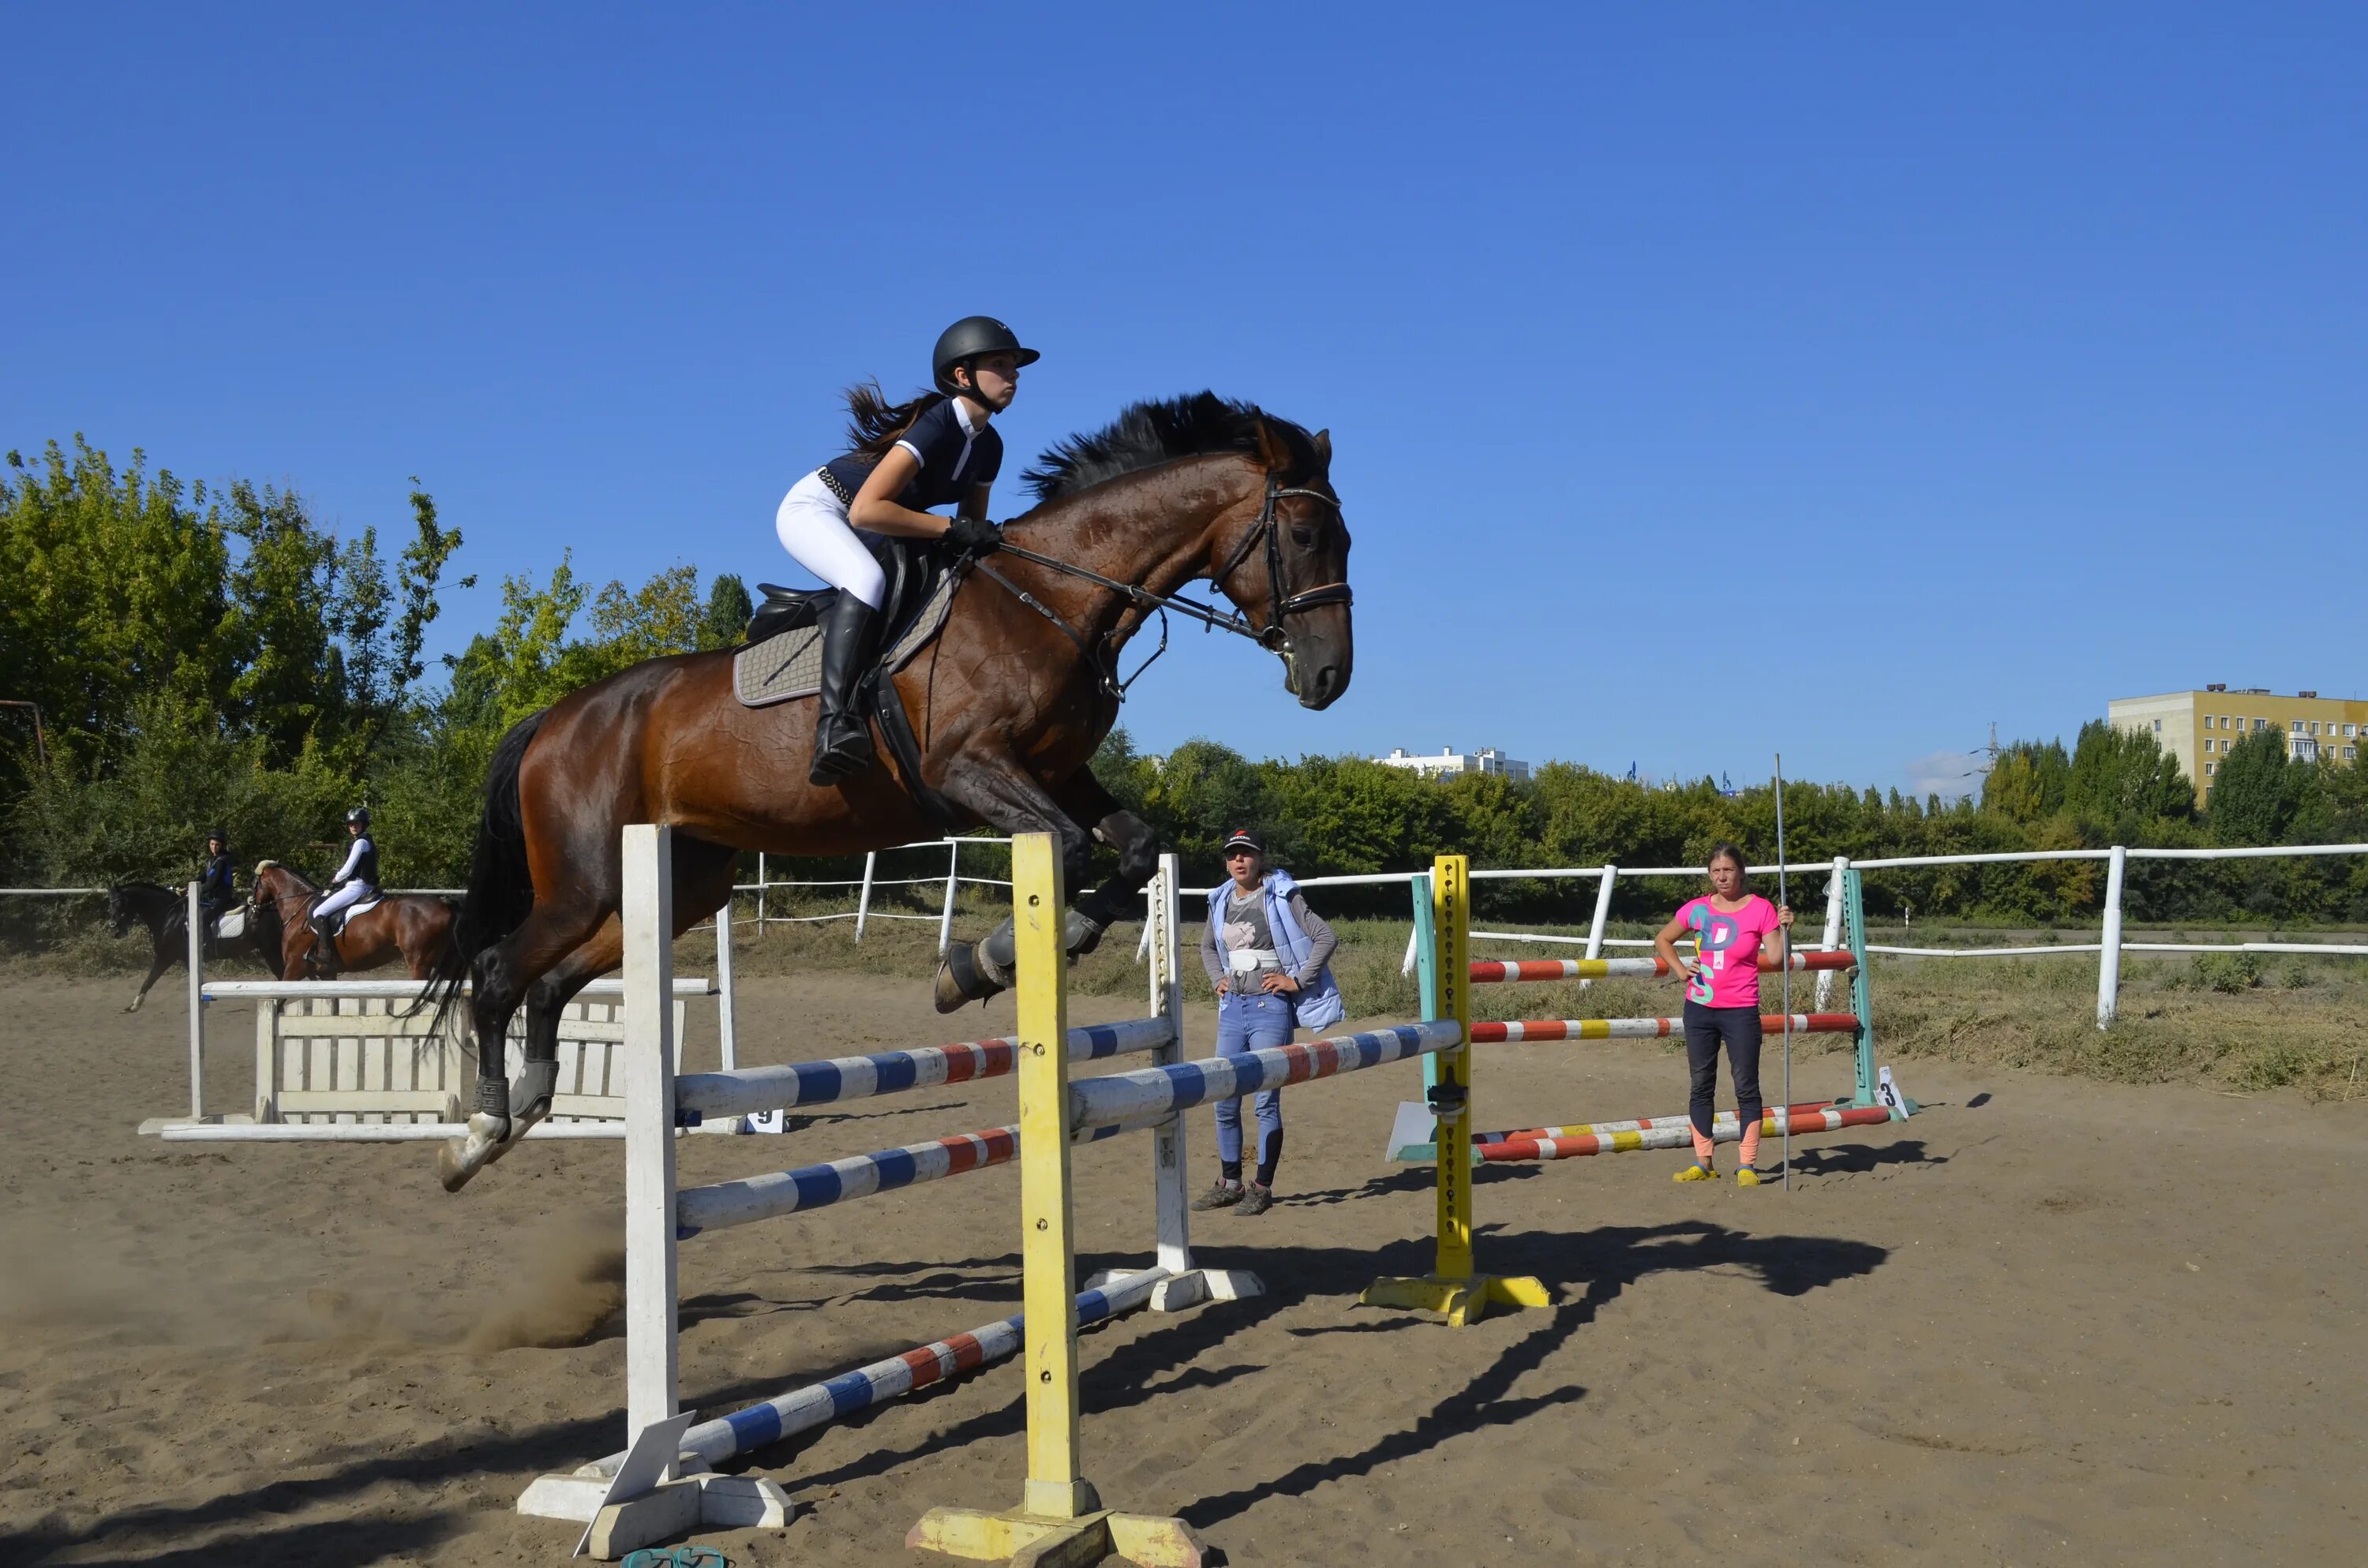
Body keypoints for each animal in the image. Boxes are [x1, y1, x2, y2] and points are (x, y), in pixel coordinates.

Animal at [107, 890, 268, 1013]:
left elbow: (149, 980)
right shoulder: (186, 959)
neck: (169, 916)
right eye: (110, 905)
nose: (114, 930)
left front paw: (134, 1006)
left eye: (120, 904)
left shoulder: (166, 956)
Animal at [424, 393, 1354, 1193]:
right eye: (1308, 532)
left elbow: (1131, 848)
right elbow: (1072, 848)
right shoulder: (969, 770)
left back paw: (526, 1108)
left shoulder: (1058, 773)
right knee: (499, 972)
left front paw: (1012, 954)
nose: (1329, 679)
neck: (1052, 594)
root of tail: (555, 716)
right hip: (584, 881)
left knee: (550, 983)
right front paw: (982, 964)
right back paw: (478, 1135)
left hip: (680, 883)